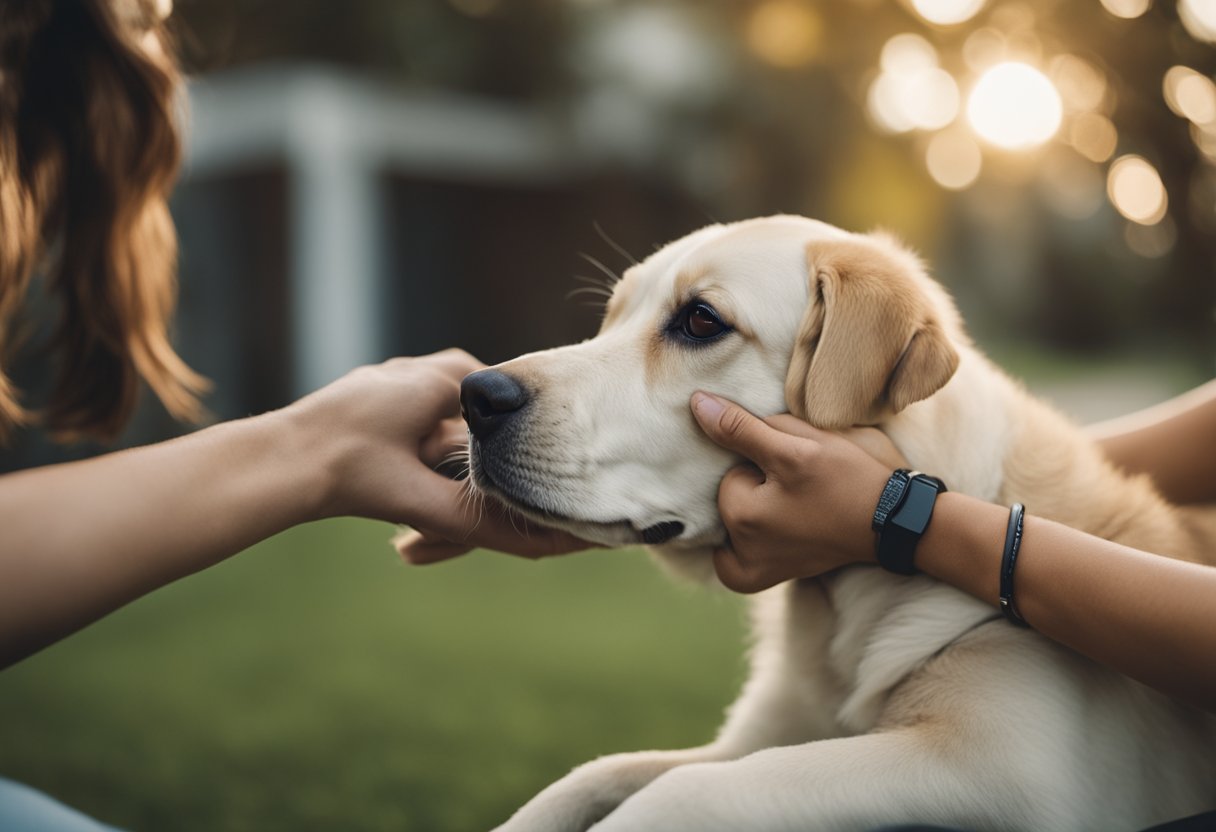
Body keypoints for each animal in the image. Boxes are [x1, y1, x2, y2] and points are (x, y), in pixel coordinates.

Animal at [457, 216, 1216, 832]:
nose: (475, 396)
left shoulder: (1000, 769)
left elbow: (684, 791)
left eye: (701, 321)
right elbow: (595, 774)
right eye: (611, 318)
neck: (850, 600)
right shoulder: (756, 737)